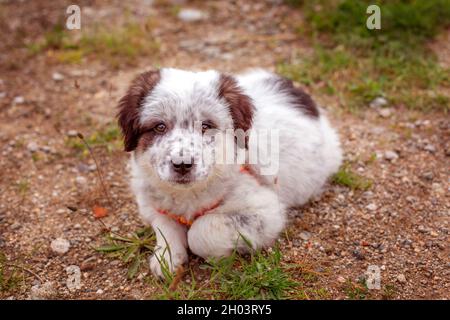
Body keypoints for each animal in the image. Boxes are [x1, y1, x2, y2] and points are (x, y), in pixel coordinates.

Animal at [116, 68, 342, 278]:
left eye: (206, 126)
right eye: (159, 127)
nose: (182, 164)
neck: (189, 193)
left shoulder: (265, 212)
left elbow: (200, 231)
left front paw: (219, 255)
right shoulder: (151, 202)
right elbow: (164, 225)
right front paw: (167, 257)